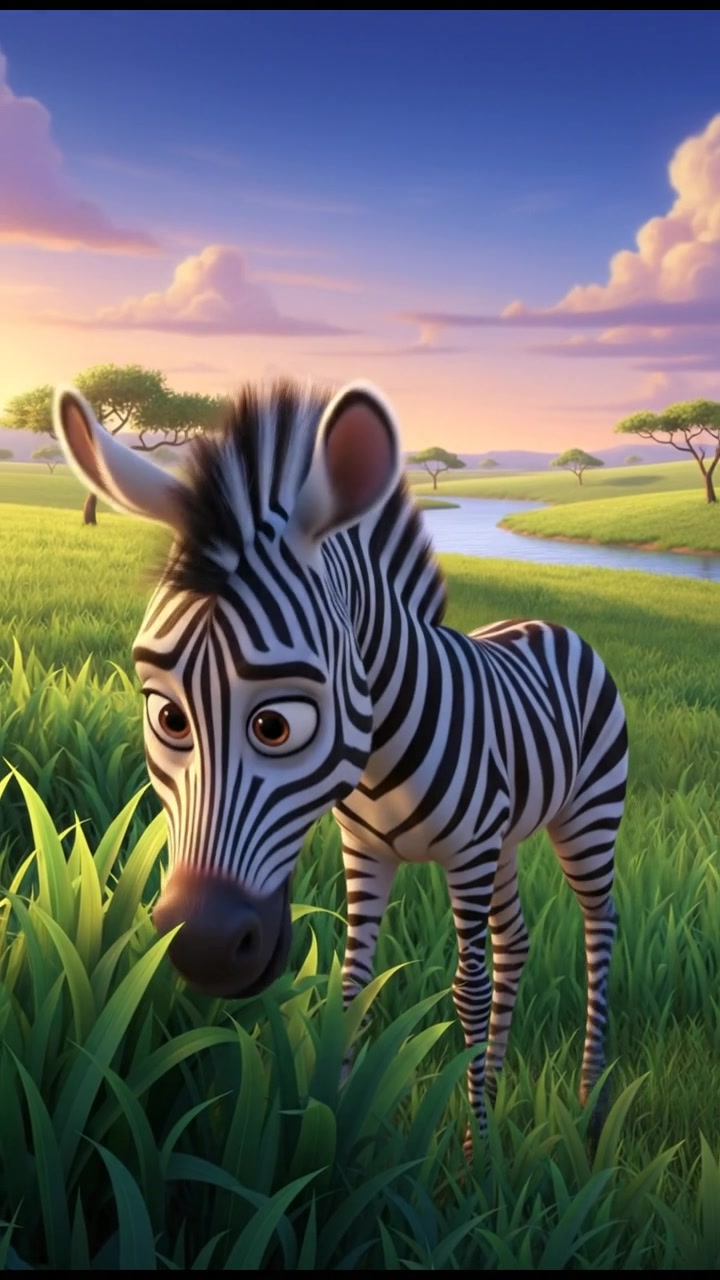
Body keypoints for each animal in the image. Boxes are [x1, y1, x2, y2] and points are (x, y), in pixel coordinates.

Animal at [53, 377, 628, 1156]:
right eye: (167, 715)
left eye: (278, 725)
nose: (202, 946)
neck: (381, 760)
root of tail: (553, 627)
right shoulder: (367, 850)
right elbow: (353, 982)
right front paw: (335, 1128)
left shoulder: (467, 855)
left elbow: (466, 991)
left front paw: (473, 1151)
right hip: (507, 839)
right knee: (514, 942)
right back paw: (501, 1081)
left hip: (587, 820)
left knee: (597, 933)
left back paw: (590, 1107)